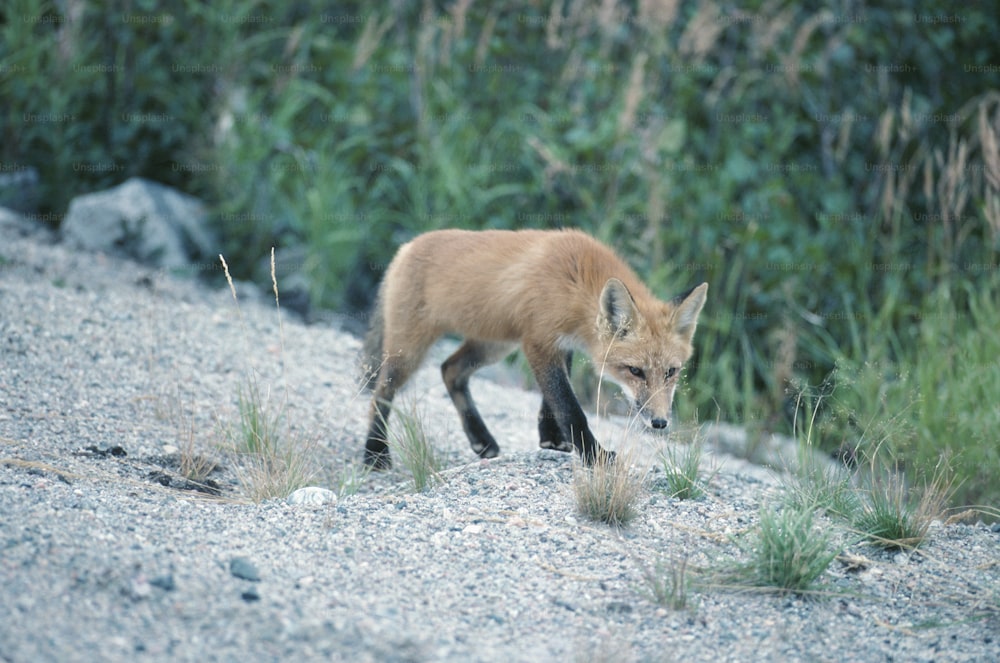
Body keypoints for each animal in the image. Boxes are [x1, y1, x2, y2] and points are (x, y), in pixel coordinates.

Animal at [358, 231, 704, 470]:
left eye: (671, 372)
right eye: (635, 371)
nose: (660, 423)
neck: (576, 279)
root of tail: (407, 247)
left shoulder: (557, 343)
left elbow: (552, 398)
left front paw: (551, 439)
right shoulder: (536, 341)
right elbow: (568, 404)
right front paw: (593, 455)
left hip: (493, 345)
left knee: (450, 370)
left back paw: (481, 439)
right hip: (409, 350)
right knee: (381, 392)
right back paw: (375, 453)